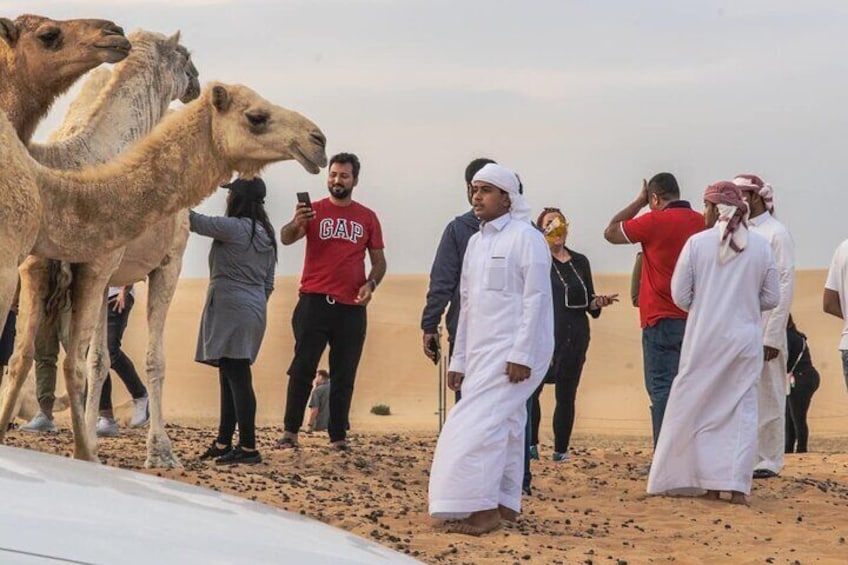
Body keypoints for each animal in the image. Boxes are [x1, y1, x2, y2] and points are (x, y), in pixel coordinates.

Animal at [0, 83, 328, 462]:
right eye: (256, 117)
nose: (317, 140)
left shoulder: (92, 273)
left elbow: (98, 359)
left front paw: (95, 441)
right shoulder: (162, 264)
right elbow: (147, 359)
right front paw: (159, 450)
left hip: (40, 268)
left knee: (25, 355)